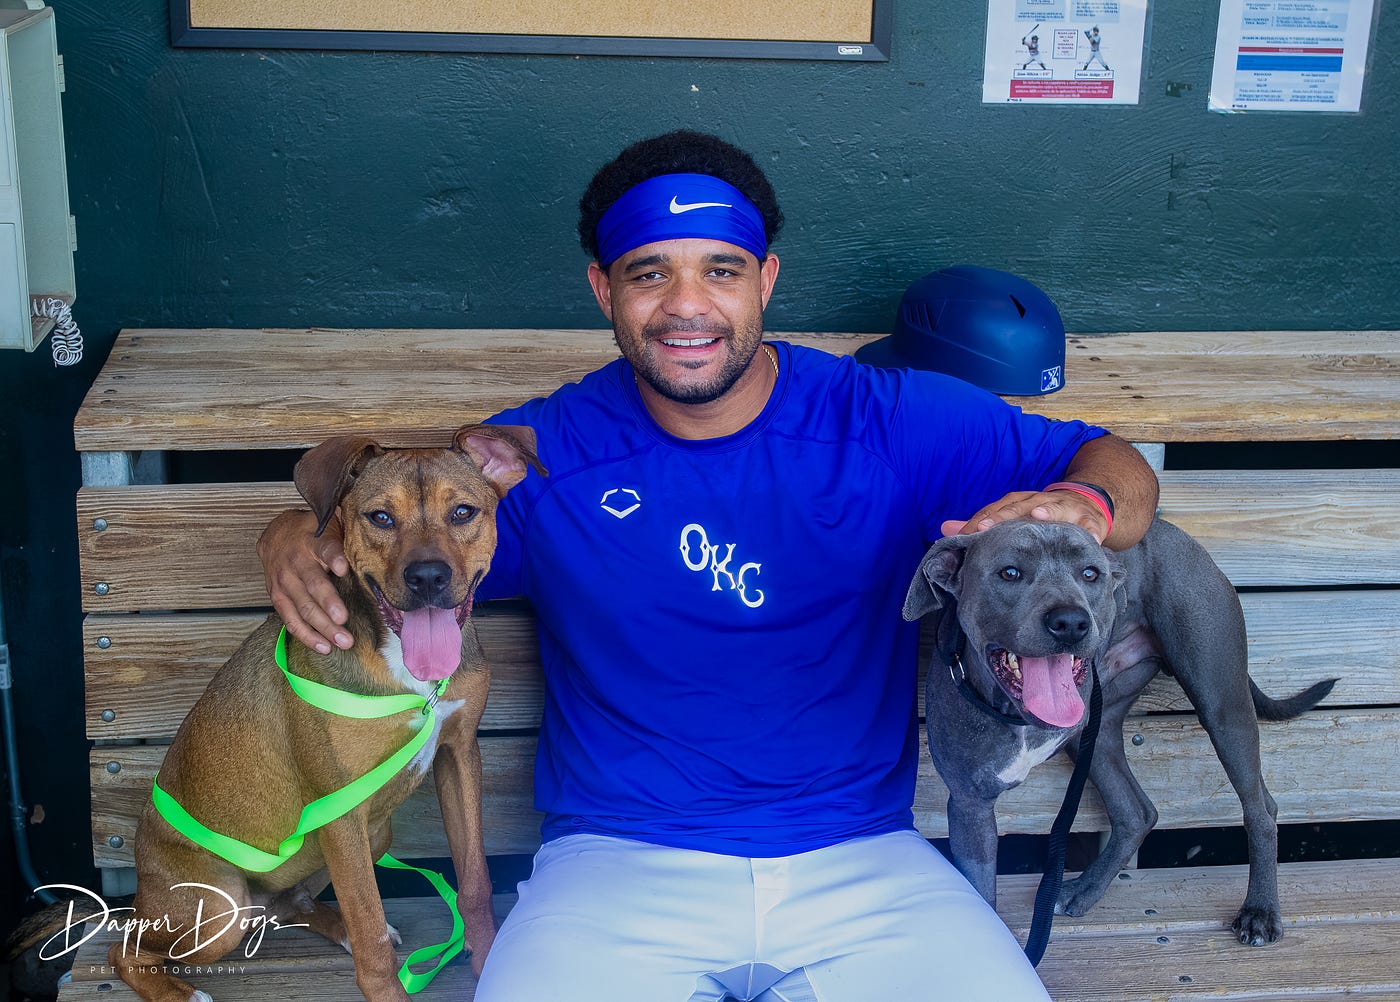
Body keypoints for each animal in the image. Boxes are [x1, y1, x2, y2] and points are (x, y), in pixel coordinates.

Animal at [112, 425, 540, 1002]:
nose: (428, 576)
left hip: (373, 835)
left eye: (463, 512)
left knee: (290, 903)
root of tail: (141, 888)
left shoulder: (458, 755)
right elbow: (369, 930)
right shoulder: (340, 808)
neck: (407, 673)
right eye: (380, 517)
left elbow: (474, 881)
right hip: (222, 906)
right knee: (125, 946)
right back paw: (177, 990)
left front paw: (489, 958)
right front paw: (388, 991)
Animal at [907, 517, 1332, 946]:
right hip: (1096, 733)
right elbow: (981, 894)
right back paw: (1085, 889)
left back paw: (1259, 911)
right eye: (1009, 572)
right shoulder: (970, 805)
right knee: (1137, 812)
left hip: (1223, 707)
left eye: (1089, 574)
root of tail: (1170, 529)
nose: (1071, 622)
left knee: (1261, 807)